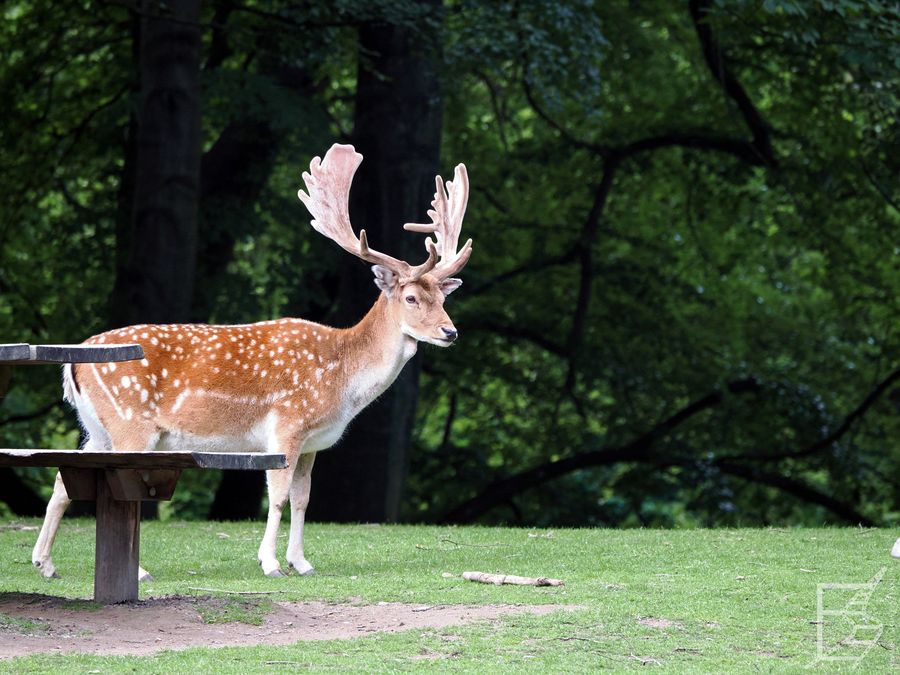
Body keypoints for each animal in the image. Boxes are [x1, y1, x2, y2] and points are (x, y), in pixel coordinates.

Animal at [32, 145, 474, 580]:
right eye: (411, 298)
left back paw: (45, 563)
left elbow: (303, 499)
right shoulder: (287, 425)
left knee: (62, 480)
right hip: (130, 422)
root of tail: (73, 363)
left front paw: (302, 563)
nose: (450, 332)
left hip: (97, 427)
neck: (342, 381)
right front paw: (271, 563)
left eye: (443, 297)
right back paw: (136, 572)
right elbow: (277, 498)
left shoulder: (313, 443)